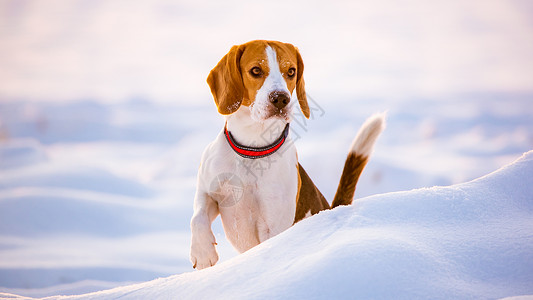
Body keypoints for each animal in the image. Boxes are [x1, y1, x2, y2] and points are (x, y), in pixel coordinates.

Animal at [189, 39, 384, 270]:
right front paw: (203, 253)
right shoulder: (209, 191)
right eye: (255, 70)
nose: (280, 98)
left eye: (291, 71)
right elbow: (197, 217)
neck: (252, 149)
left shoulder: (273, 226)